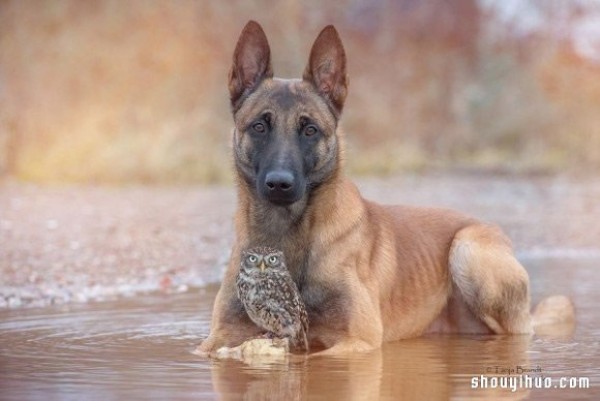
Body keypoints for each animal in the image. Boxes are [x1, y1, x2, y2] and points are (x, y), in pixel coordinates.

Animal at [198, 21, 572, 356]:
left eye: (310, 130)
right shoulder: (218, 337)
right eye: (259, 126)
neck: (284, 232)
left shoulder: (356, 342)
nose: (279, 183)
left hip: (468, 250)